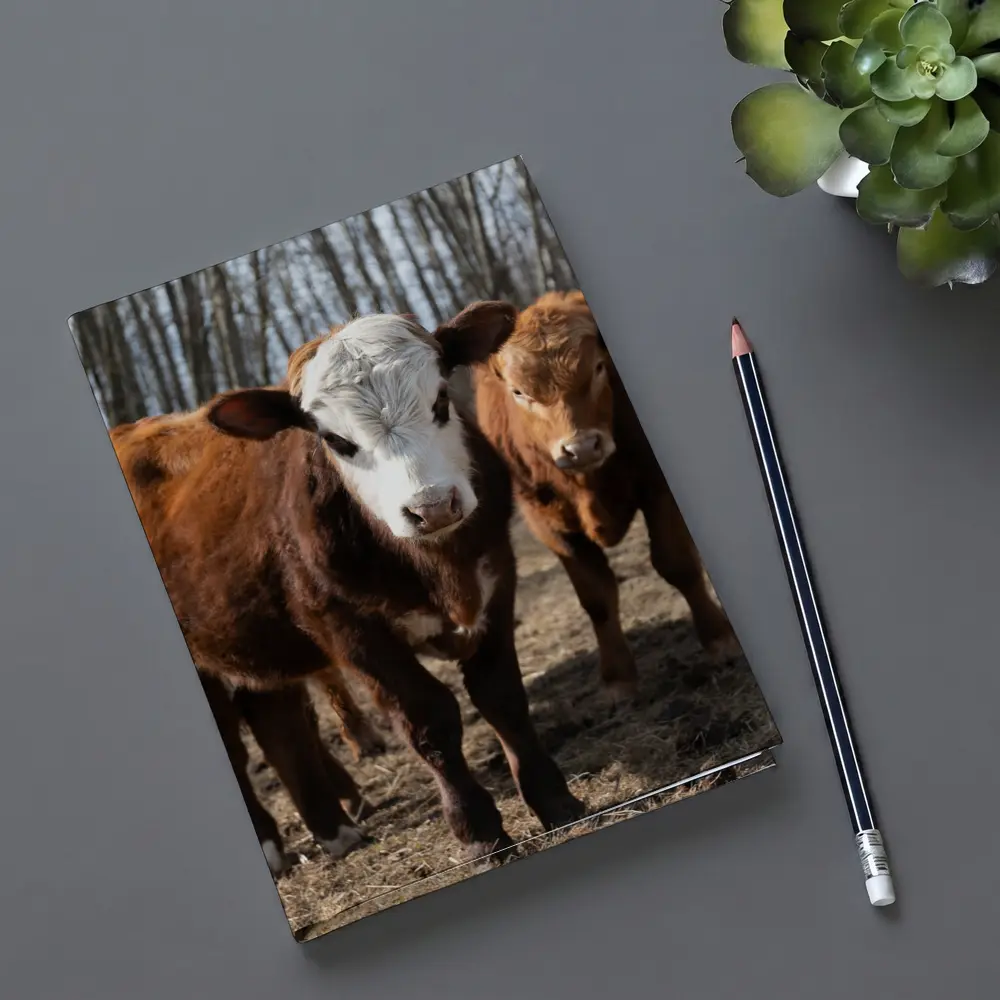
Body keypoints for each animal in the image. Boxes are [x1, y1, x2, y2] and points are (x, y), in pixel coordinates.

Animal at [110, 302, 585, 870]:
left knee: (277, 720)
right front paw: (479, 832)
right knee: (235, 743)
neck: (440, 572)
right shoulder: (349, 628)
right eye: (337, 441)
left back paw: (335, 829)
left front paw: (556, 801)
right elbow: (429, 719)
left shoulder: (496, 578)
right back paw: (271, 844)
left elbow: (503, 697)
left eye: (441, 400)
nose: (432, 506)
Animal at [472, 290, 740, 701]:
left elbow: (677, 564)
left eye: (598, 368)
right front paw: (617, 679)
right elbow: (596, 597)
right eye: (519, 391)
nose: (581, 447)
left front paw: (719, 640)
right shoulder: (548, 525)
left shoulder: (656, 483)